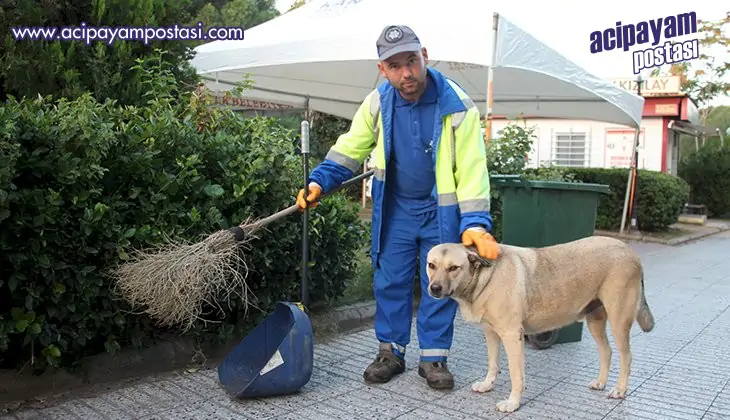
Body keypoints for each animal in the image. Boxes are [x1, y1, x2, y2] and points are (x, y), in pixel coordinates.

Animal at [424, 236, 652, 414]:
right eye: (431, 265)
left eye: (454, 268)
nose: (434, 288)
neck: (484, 277)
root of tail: (631, 252)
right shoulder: (491, 334)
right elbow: (493, 363)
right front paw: (488, 385)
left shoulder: (512, 335)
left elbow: (516, 375)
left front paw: (513, 403)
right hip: (595, 321)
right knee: (607, 351)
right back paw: (601, 382)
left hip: (618, 321)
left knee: (626, 356)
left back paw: (620, 389)